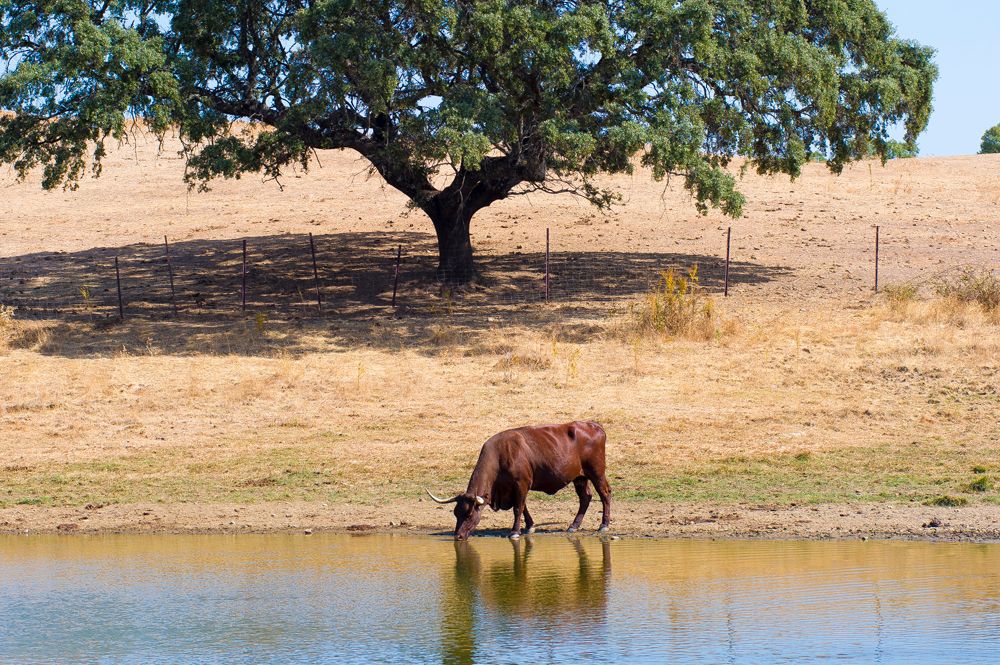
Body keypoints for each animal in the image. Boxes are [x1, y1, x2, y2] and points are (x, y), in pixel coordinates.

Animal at [424, 420, 608, 540]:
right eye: (456, 513)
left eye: (469, 515)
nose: (458, 536)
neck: (501, 455)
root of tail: (594, 424)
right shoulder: (515, 488)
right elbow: (523, 506)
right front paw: (530, 526)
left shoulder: (521, 484)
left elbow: (518, 508)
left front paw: (515, 531)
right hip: (580, 477)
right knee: (585, 497)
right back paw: (573, 526)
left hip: (596, 472)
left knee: (605, 493)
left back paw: (604, 525)